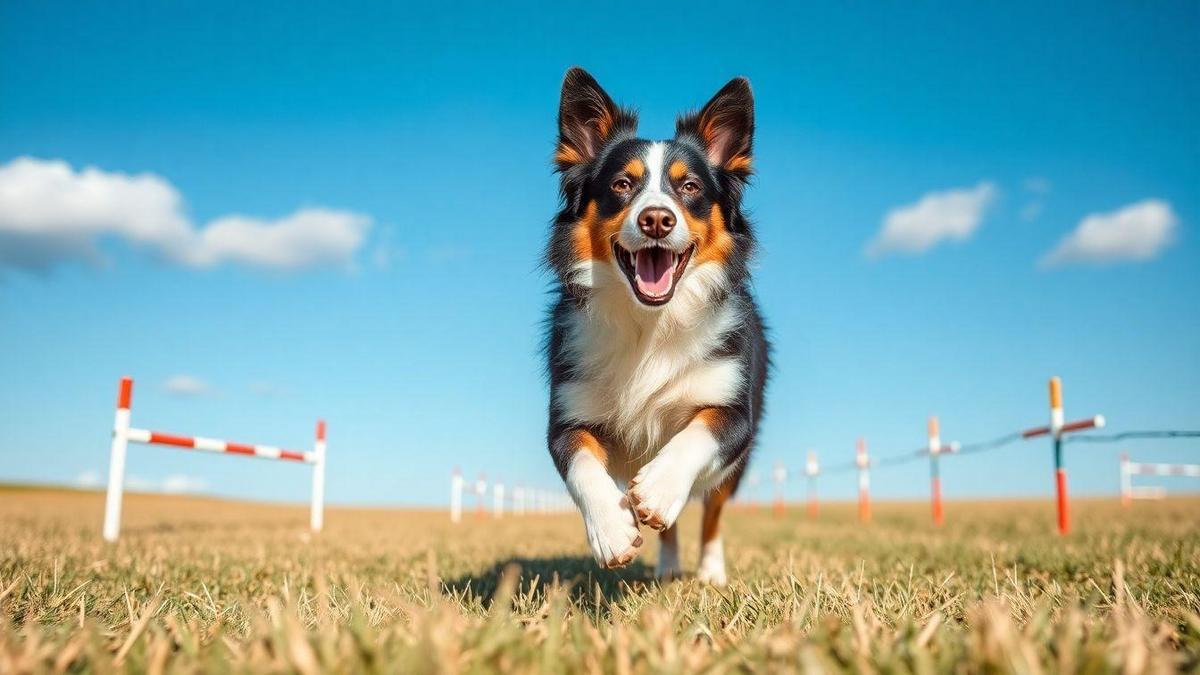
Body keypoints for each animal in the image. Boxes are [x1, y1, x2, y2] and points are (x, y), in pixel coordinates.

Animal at [544, 68, 768, 583]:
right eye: (623, 184)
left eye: (690, 189)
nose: (657, 220)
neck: (650, 322)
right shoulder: (566, 415)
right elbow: (581, 463)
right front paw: (611, 529)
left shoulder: (734, 412)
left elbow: (697, 434)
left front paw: (661, 487)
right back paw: (665, 567)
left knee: (712, 512)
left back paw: (709, 571)